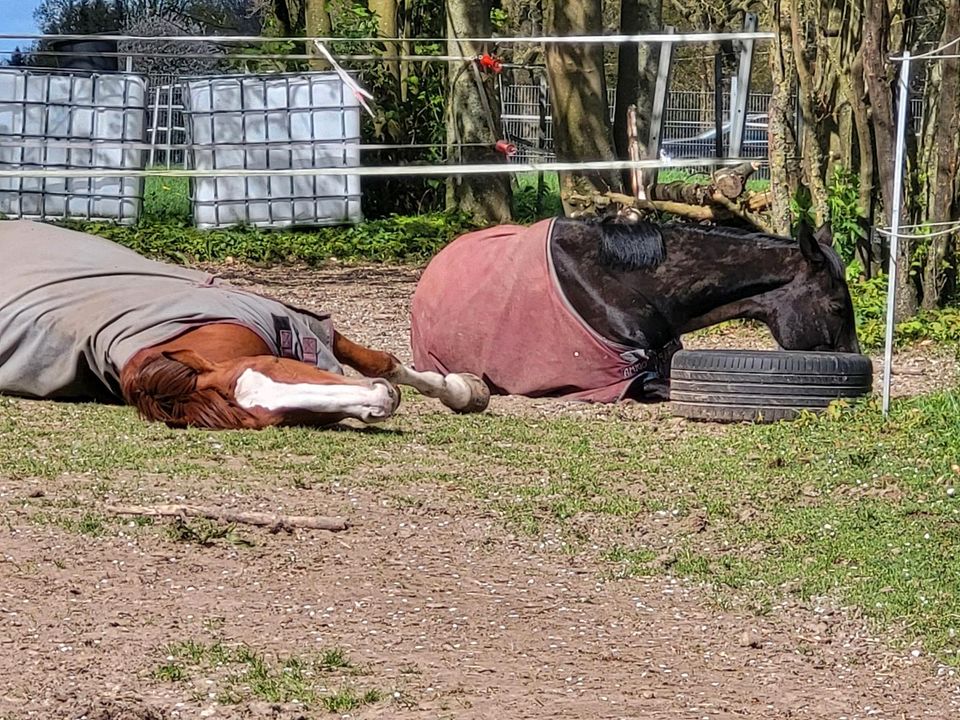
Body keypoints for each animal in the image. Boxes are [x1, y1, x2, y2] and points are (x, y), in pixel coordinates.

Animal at [0, 219, 488, 430]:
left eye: (275, 365)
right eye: (271, 419)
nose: (381, 402)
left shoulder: (307, 324)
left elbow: (380, 360)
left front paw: (463, 390)